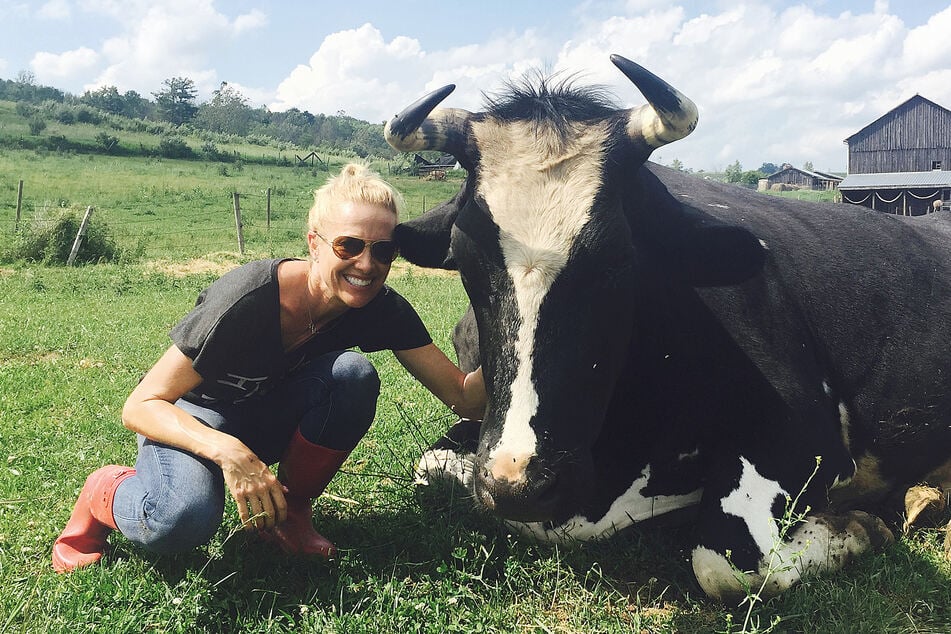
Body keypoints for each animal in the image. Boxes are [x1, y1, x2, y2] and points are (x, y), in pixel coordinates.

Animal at [382, 53, 951, 596]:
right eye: (464, 259)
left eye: (619, 260)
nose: (518, 482)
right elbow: (430, 466)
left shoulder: (810, 438)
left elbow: (726, 562)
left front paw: (862, 526)